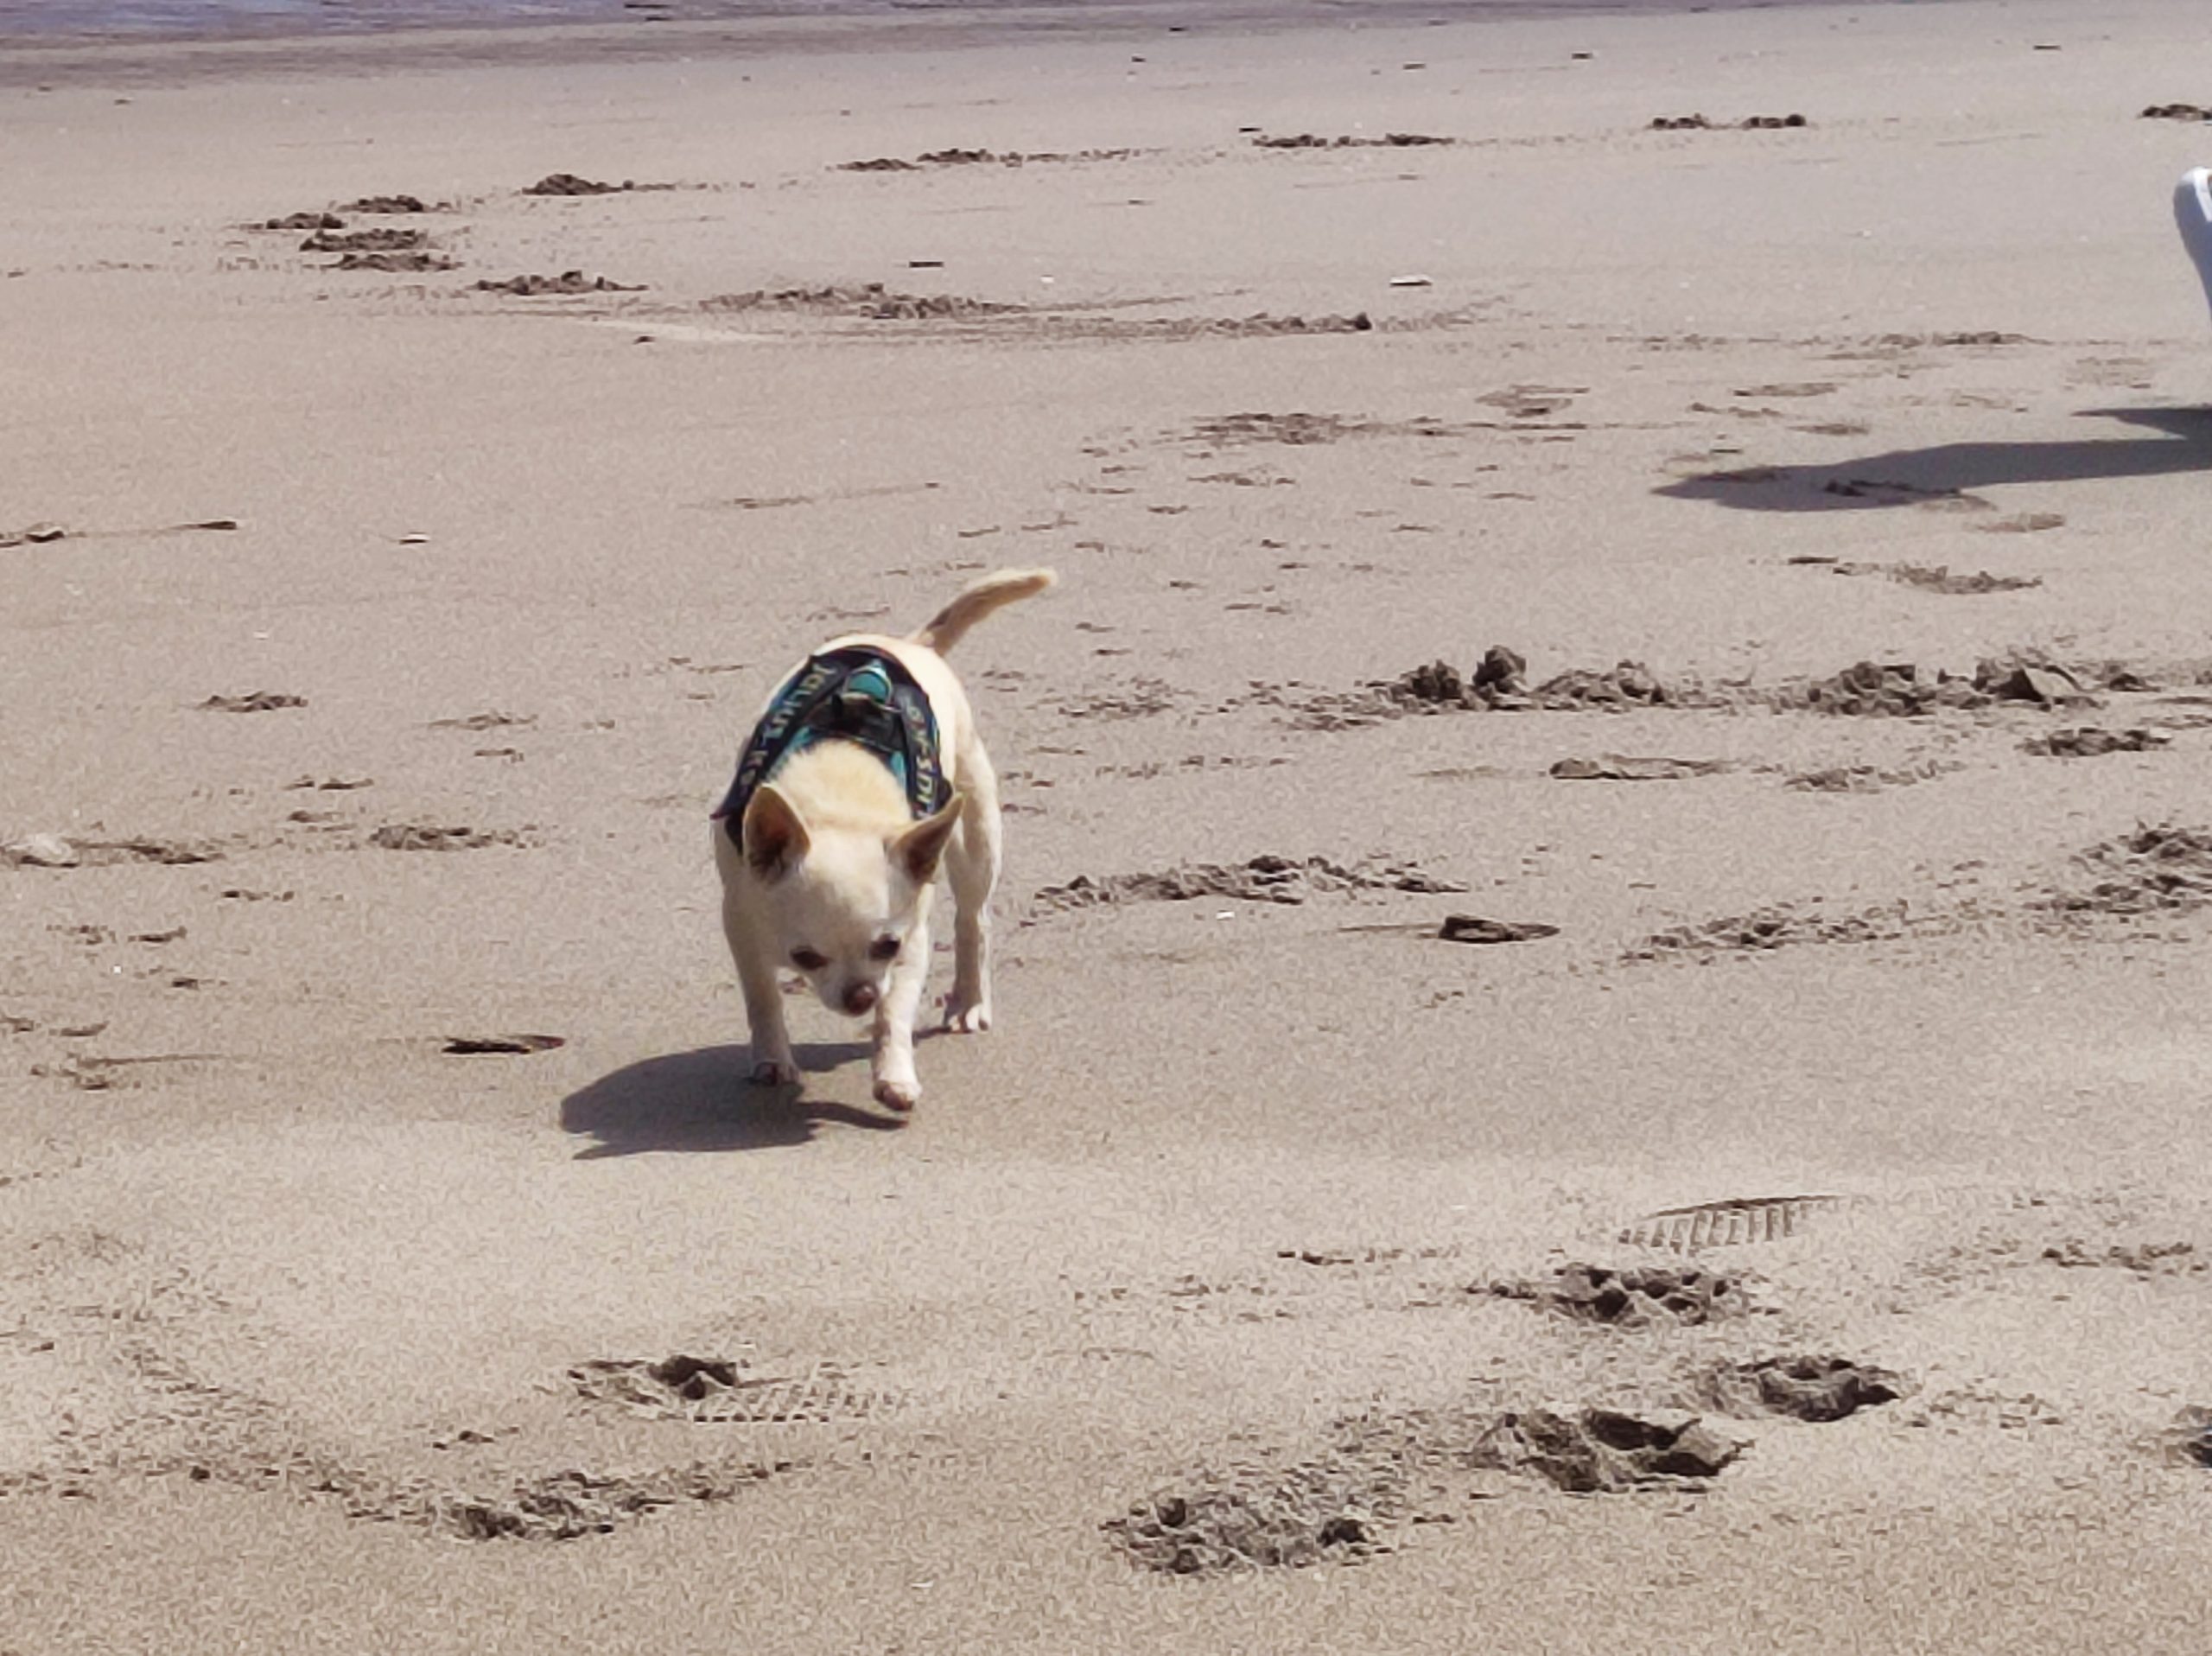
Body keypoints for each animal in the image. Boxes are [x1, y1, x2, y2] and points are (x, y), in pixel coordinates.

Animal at [712, 568, 1055, 1111]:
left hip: (975, 833)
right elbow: (762, 995)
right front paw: (771, 1060)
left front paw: (895, 1076)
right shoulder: (741, 918)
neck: (842, 799)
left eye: (887, 945)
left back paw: (970, 999)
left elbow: (896, 1012)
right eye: (805, 957)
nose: (860, 996)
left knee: (972, 919)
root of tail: (912, 643)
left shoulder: (911, 939)